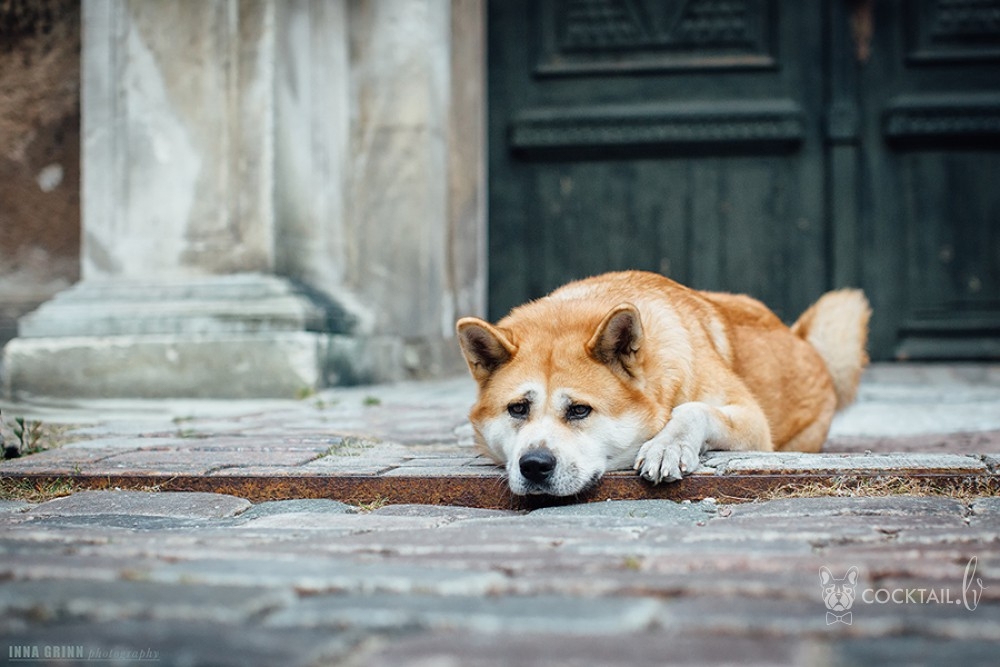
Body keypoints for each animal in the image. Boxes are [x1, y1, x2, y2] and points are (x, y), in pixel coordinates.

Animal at [454, 270, 868, 496]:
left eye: (580, 410)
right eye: (518, 408)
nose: (534, 465)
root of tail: (800, 338)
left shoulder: (754, 422)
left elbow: (693, 409)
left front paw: (667, 445)